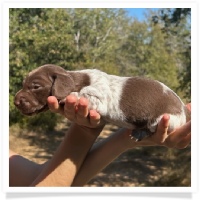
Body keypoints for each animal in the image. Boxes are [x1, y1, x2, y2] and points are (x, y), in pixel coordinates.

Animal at [14, 64, 191, 141]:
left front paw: (68, 96)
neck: (79, 79)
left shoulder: (99, 97)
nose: (15, 102)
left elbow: (83, 93)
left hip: (163, 119)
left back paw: (140, 132)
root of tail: (183, 108)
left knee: (151, 127)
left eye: (36, 86)